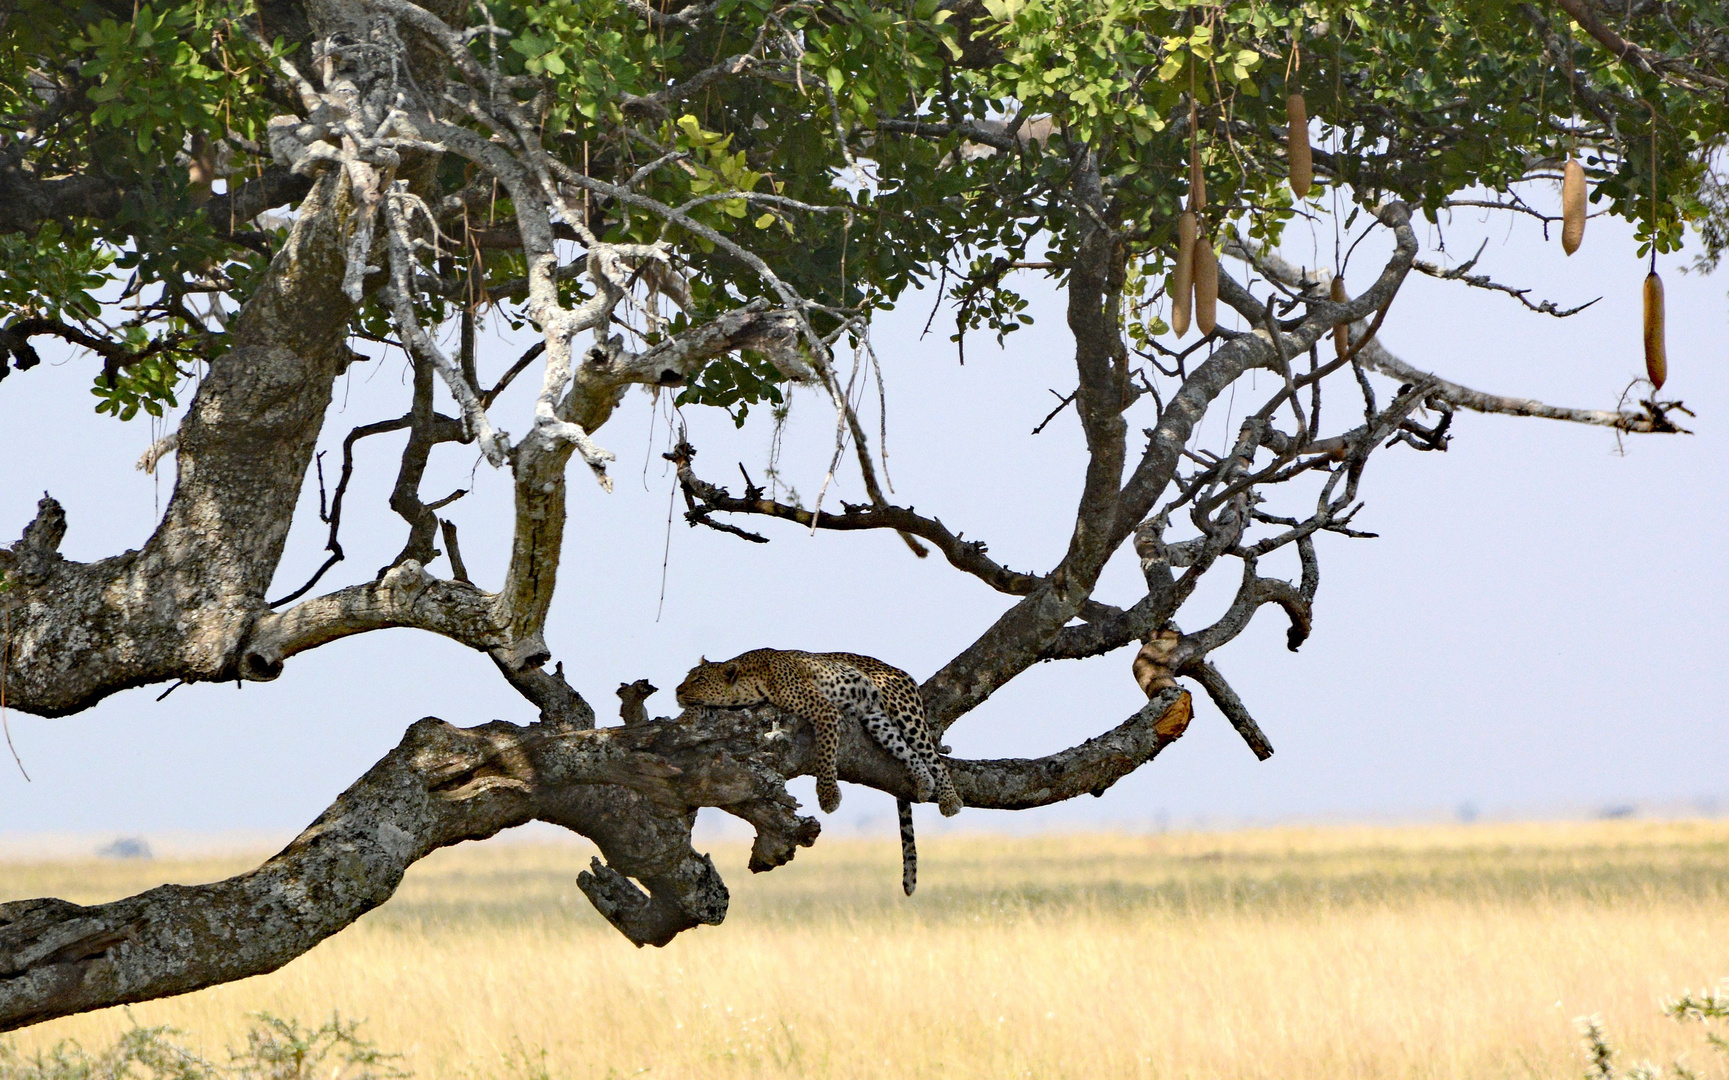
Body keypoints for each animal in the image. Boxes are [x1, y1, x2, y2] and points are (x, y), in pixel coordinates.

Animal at [677, 649, 961, 891]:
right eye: (687, 676)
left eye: (699, 679)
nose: (677, 690)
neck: (750, 680)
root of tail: (899, 671)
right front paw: (686, 718)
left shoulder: (825, 710)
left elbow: (825, 750)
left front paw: (828, 795)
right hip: (877, 721)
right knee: (909, 752)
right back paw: (924, 782)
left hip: (904, 711)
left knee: (932, 756)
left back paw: (949, 799)